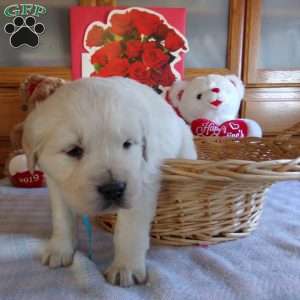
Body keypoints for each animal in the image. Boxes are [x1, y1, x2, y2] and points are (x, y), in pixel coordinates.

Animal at [23, 76, 197, 288]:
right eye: (74, 150)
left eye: (127, 144)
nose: (114, 189)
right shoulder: (55, 182)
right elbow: (62, 218)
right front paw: (60, 249)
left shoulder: (141, 182)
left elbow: (130, 228)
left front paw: (125, 268)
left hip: (186, 149)